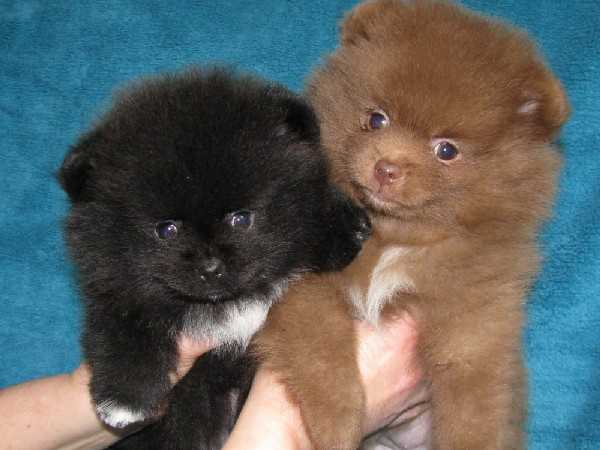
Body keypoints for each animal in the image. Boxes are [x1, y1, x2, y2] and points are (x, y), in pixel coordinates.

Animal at [59, 67, 371, 449]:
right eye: (166, 230)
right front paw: (125, 400)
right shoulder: (116, 288)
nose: (210, 267)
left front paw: (345, 226)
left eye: (242, 218)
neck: (225, 305)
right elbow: (121, 330)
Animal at [255, 1, 569, 449]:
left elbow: (473, 400)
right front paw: (337, 425)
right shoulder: (304, 280)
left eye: (446, 150)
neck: (391, 240)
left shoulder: (477, 312)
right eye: (376, 119)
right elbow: (321, 348)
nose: (387, 167)